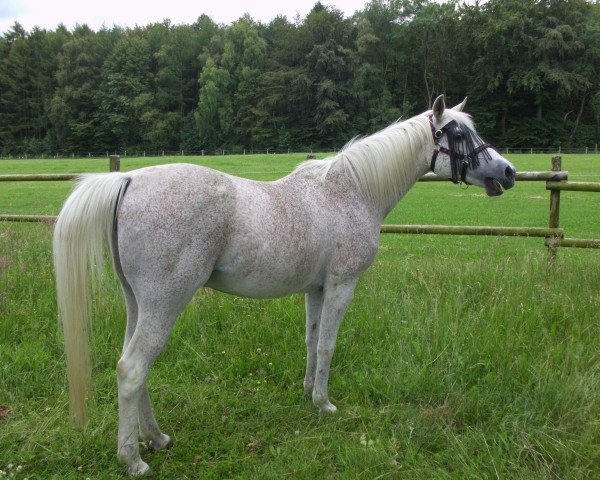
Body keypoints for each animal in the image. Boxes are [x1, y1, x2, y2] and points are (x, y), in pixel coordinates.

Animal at [52, 95, 516, 474]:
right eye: (458, 133)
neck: (349, 192)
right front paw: (324, 403)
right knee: (133, 369)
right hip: (165, 302)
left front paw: (309, 391)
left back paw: (157, 438)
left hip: (138, 303)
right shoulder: (342, 285)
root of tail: (129, 179)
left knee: (133, 367)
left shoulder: (316, 289)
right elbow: (328, 344)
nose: (508, 171)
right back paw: (134, 459)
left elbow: (311, 340)